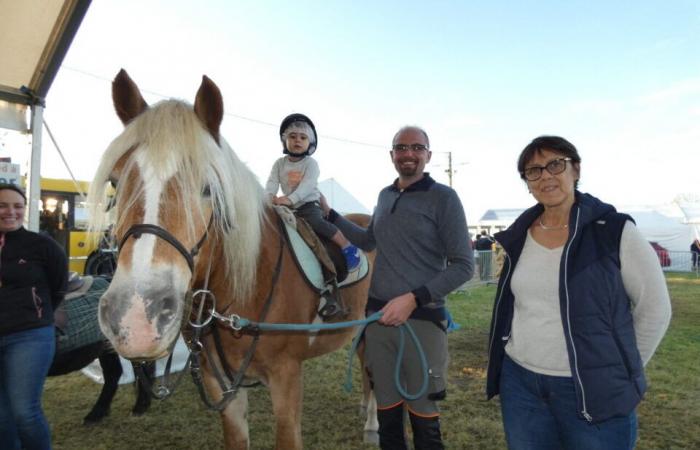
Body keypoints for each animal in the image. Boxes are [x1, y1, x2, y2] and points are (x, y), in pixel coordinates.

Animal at [89, 68, 378, 448]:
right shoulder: (221, 385)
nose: (136, 318)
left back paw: (373, 423)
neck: (248, 285)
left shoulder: (287, 376)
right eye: (115, 182)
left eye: (208, 187)